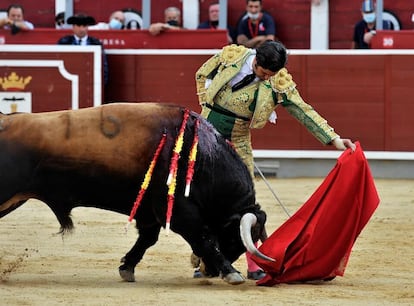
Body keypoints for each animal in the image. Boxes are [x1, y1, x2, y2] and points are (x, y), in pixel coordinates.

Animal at [0, 102, 272, 284]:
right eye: (234, 238)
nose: (209, 272)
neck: (202, 155)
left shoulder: (149, 211)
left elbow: (147, 239)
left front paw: (127, 268)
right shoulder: (178, 211)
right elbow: (203, 237)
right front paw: (232, 273)